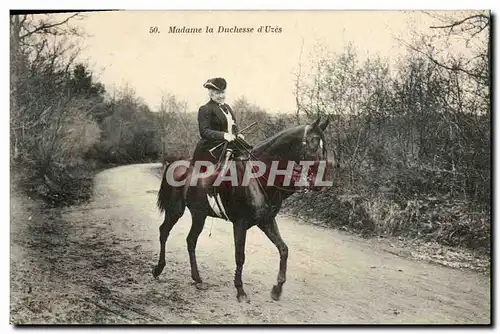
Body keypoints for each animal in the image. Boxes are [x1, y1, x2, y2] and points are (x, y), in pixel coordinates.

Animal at [154, 117, 330, 302]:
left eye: (324, 145)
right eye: (312, 143)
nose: (321, 183)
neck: (258, 176)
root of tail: (177, 165)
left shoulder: (266, 221)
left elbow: (283, 249)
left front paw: (277, 289)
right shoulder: (240, 223)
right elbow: (240, 256)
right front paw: (240, 290)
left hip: (198, 215)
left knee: (190, 240)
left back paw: (197, 279)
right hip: (177, 211)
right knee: (165, 232)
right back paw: (159, 269)